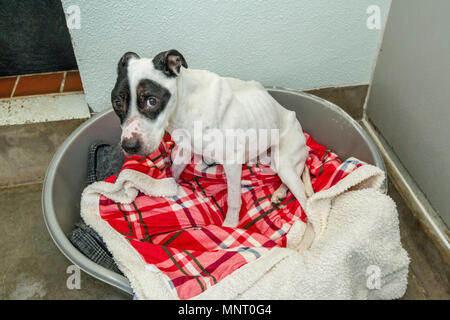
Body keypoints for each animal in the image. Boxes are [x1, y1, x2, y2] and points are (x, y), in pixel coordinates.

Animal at [110, 50, 312, 226]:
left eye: (152, 101)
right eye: (117, 102)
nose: (129, 146)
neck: (185, 106)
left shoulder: (232, 163)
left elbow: (233, 200)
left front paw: (230, 225)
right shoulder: (183, 151)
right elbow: (173, 173)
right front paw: (166, 188)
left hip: (284, 163)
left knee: (304, 197)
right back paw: (279, 193)